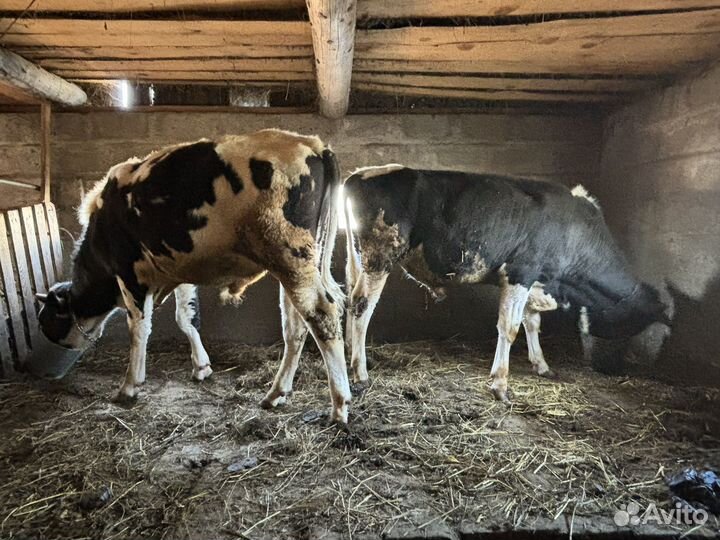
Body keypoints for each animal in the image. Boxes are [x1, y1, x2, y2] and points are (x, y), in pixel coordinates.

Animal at [35, 129, 351, 422]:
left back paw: (339, 404)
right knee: (295, 326)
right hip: (297, 264)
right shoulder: (178, 271)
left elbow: (138, 328)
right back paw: (276, 393)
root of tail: (311, 143)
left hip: (291, 255)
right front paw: (201, 367)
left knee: (321, 314)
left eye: (46, 319)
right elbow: (185, 318)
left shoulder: (128, 271)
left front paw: (129, 386)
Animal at [335, 166, 669, 403]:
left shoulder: (535, 281)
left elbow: (532, 323)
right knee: (362, 306)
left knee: (349, 299)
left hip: (358, 259)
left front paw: (541, 365)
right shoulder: (521, 272)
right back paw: (360, 372)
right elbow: (509, 328)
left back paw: (351, 354)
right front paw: (500, 385)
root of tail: (357, 175)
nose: (611, 368)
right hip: (380, 258)